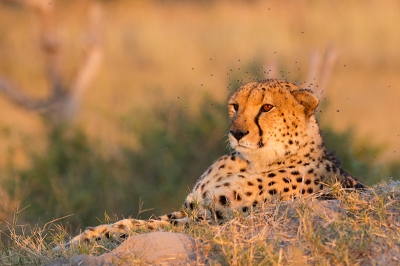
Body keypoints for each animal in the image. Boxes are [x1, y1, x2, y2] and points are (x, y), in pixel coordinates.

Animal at [54, 79, 364, 249]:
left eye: (267, 107)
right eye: (235, 106)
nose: (237, 133)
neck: (255, 161)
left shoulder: (212, 219)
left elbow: (140, 227)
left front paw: (91, 239)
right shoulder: (192, 208)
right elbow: (140, 221)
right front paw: (79, 239)